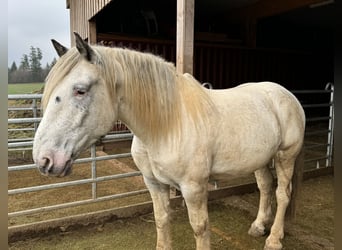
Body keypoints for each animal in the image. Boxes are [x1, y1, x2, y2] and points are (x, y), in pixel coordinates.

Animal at [32, 33, 304, 250]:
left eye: (80, 90)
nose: (44, 159)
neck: (168, 124)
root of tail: (286, 95)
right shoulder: (154, 183)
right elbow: (161, 219)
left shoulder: (194, 188)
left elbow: (200, 228)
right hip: (261, 160)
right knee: (266, 187)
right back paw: (258, 227)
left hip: (285, 156)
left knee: (282, 193)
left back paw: (274, 239)